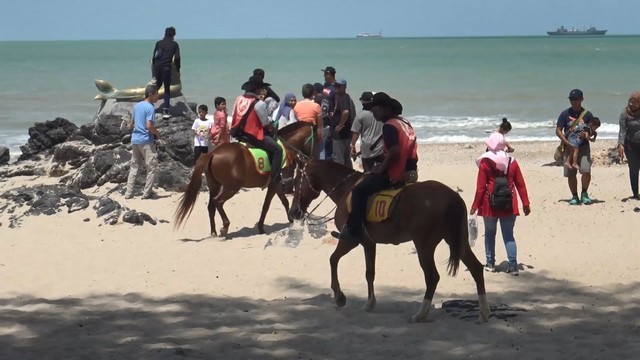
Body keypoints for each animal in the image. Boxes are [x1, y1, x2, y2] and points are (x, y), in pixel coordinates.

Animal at [175, 122, 318, 238]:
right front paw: (261, 227)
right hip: (232, 187)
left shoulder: (277, 184)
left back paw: (213, 232)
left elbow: (284, 201)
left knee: (211, 206)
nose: (313, 159)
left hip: (214, 185)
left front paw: (291, 219)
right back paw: (225, 227)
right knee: (218, 201)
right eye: (317, 139)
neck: (284, 148)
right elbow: (267, 205)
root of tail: (213, 153)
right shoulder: (274, 183)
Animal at [290, 159, 490, 322]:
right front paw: (370, 303)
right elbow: (369, 272)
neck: (347, 188)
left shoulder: (350, 240)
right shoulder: (368, 243)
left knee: (432, 277)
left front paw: (339, 296)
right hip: (457, 241)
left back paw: (421, 314)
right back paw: (483, 313)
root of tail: (452, 196)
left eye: (295, 182)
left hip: (424, 245)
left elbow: (333, 260)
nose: (293, 212)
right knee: (476, 269)